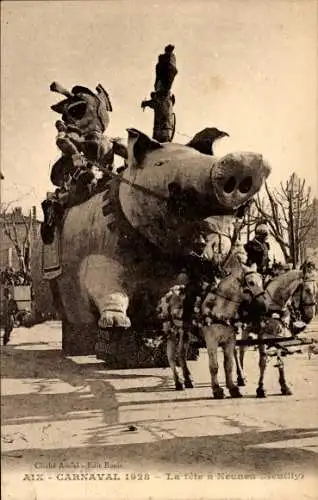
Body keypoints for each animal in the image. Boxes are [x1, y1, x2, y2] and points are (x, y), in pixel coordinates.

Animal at [155, 262, 264, 398]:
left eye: (261, 280)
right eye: (251, 282)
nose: (263, 305)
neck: (220, 307)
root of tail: (168, 294)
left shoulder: (230, 340)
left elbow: (229, 365)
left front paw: (233, 388)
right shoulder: (212, 340)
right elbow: (214, 366)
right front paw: (217, 390)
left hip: (185, 333)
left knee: (181, 354)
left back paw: (188, 380)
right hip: (171, 332)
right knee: (171, 356)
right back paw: (178, 382)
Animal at [237, 268, 316, 396]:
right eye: (307, 290)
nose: (309, 316)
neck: (273, 305)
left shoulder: (279, 336)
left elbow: (280, 360)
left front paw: (284, 386)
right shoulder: (263, 336)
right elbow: (263, 361)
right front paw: (261, 387)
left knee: (240, 351)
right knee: (235, 351)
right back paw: (240, 376)